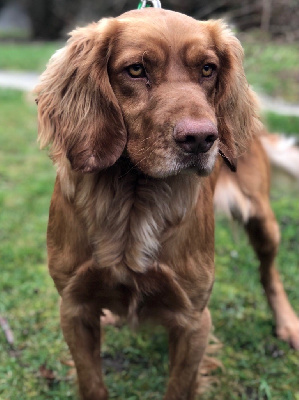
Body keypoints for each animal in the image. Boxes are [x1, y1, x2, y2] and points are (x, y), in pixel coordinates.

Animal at [35, 7, 299, 398]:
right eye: (136, 69)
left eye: (208, 69)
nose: (202, 139)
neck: (134, 197)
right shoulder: (74, 309)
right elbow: (92, 383)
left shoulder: (192, 320)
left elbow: (179, 386)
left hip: (262, 220)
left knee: (270, 273)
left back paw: (288, 323)